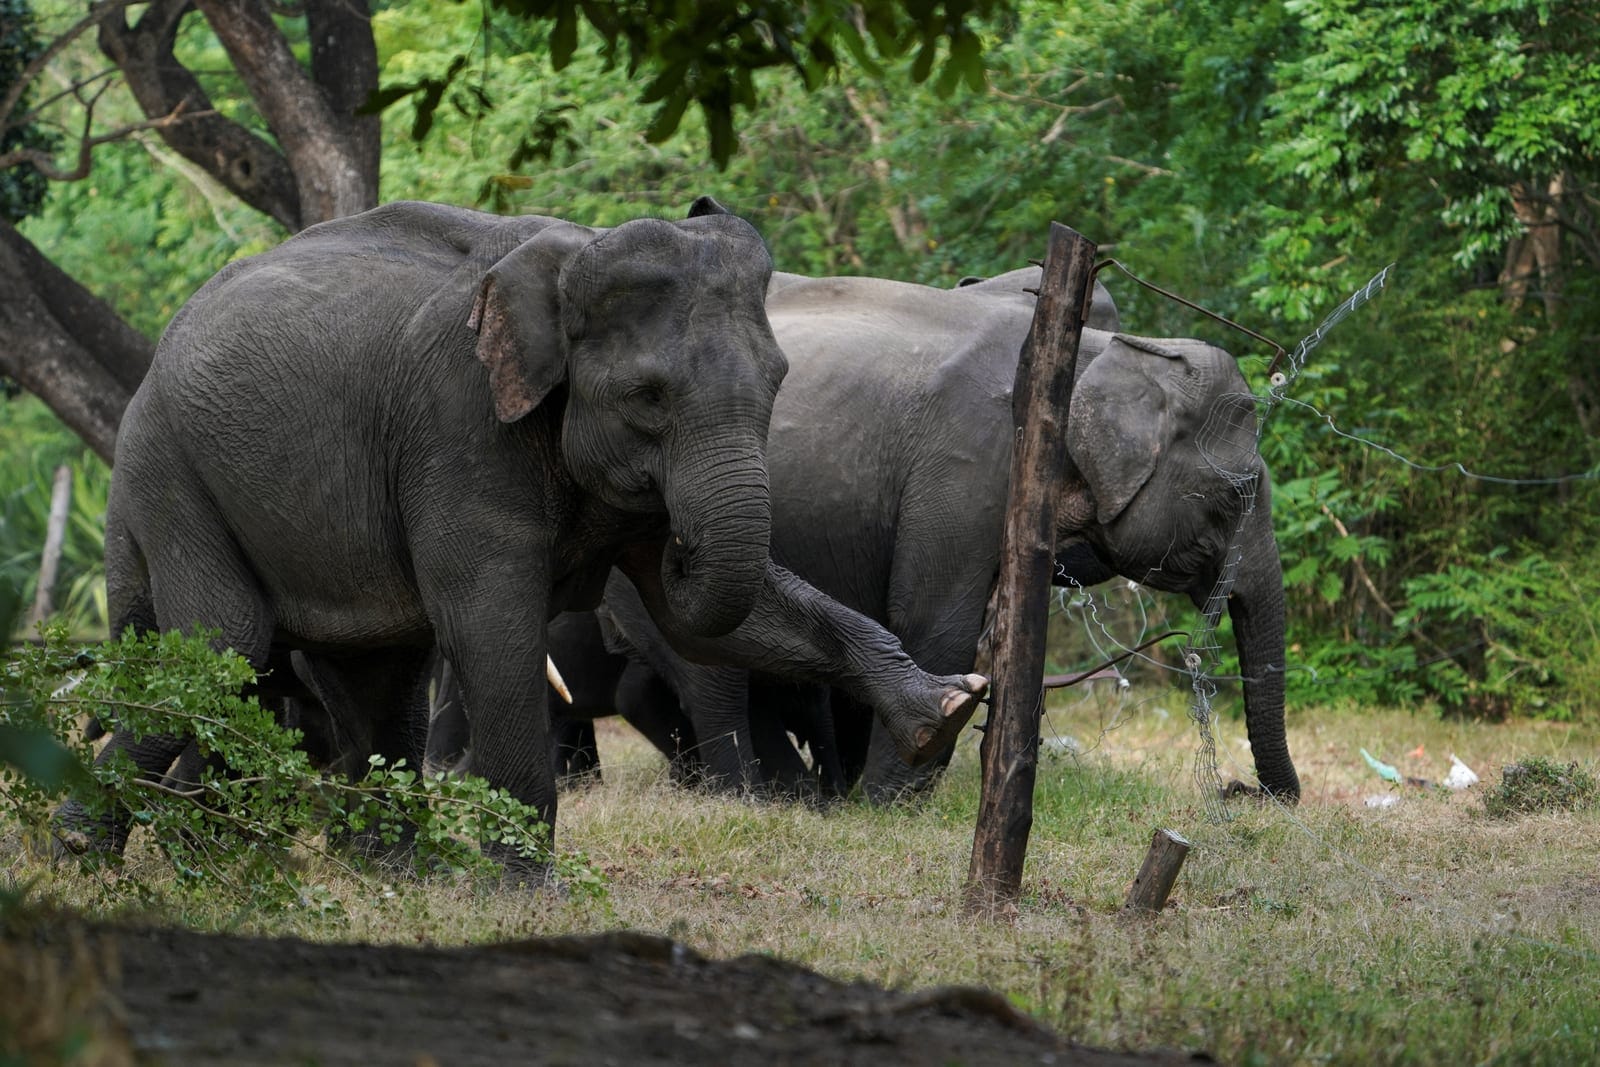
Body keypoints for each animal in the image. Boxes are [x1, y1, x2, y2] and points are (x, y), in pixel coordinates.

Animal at [54, 198, 988, 873]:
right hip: (169, 474)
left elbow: (735, 616)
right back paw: (74, 855)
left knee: (374, 674)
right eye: (647, 396)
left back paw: (391, 872)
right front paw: (526, 889)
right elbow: (491, 622)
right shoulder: (457, 423)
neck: (572, 255)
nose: (681, 542)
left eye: (781, 379)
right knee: (227, 646)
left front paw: (948, 706)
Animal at [592, 264, 1299, 803]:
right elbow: (934, 621)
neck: (1105, 349)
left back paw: (796, 797)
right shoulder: (966, 465)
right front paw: (888, 805)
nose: (1243, 791)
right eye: (1239, 492)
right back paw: (760, 798)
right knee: (709, 667)